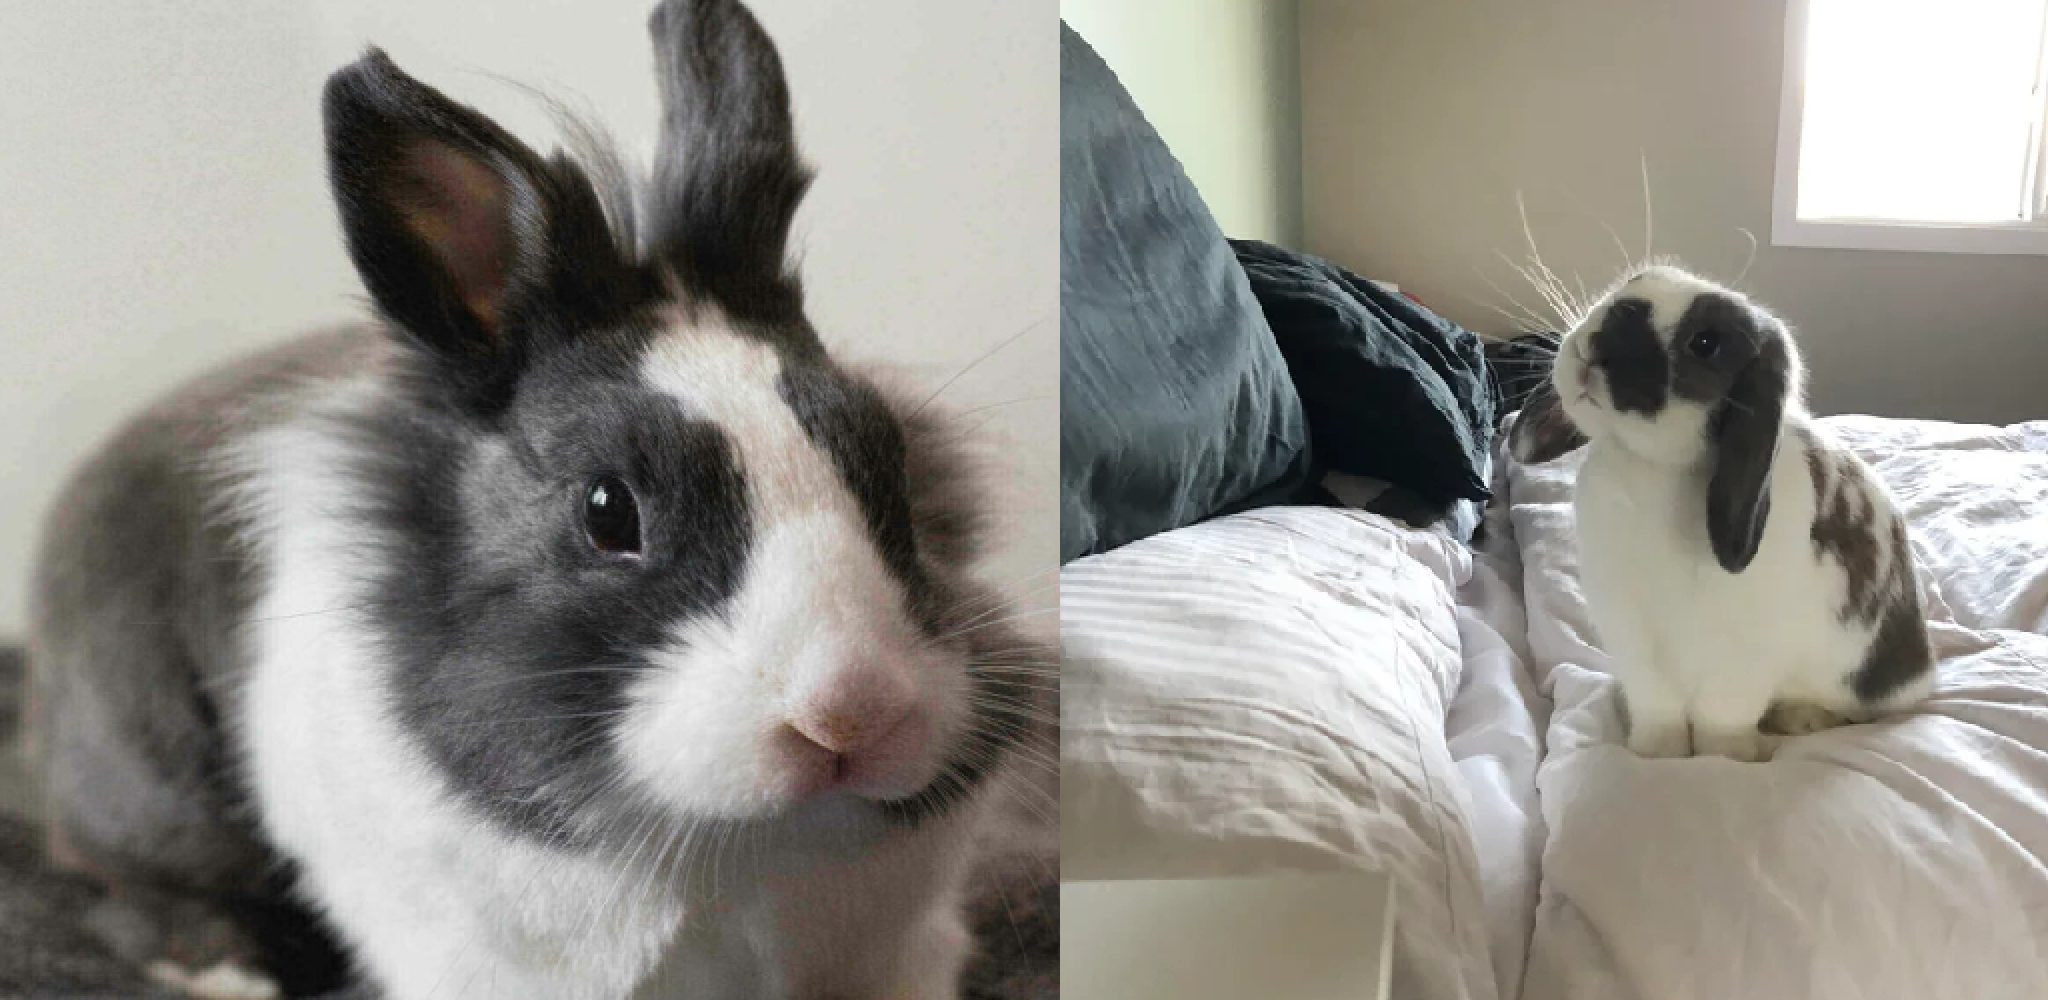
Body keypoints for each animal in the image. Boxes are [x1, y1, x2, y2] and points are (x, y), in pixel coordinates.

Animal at [1523, 264, 1933, 762]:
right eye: (1632, 280)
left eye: (1705, 343)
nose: (1620, 315)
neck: (1655, 467)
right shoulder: (1631, 634)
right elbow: (1657, 708)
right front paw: (1654, 755)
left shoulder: (1745, 655)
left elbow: (1722, 717)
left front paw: (1729, 758)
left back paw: (1800, 719)